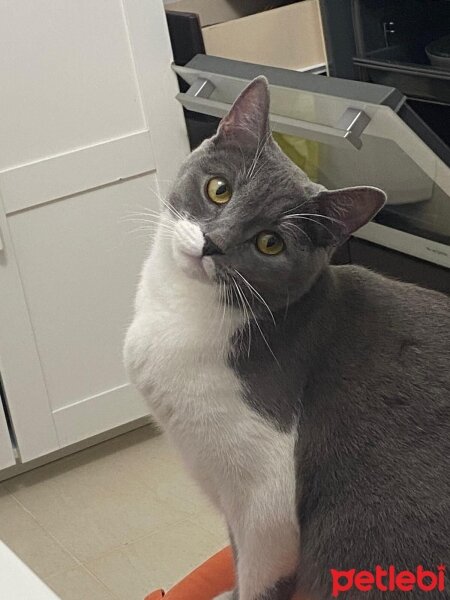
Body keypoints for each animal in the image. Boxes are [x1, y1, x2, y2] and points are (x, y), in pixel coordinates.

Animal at [123, 76, 450, 600]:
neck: (182, 309)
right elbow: (234, 561)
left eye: (270, 242)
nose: (212, 243)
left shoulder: (266, 500)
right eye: (219, 189)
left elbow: (255, 577)